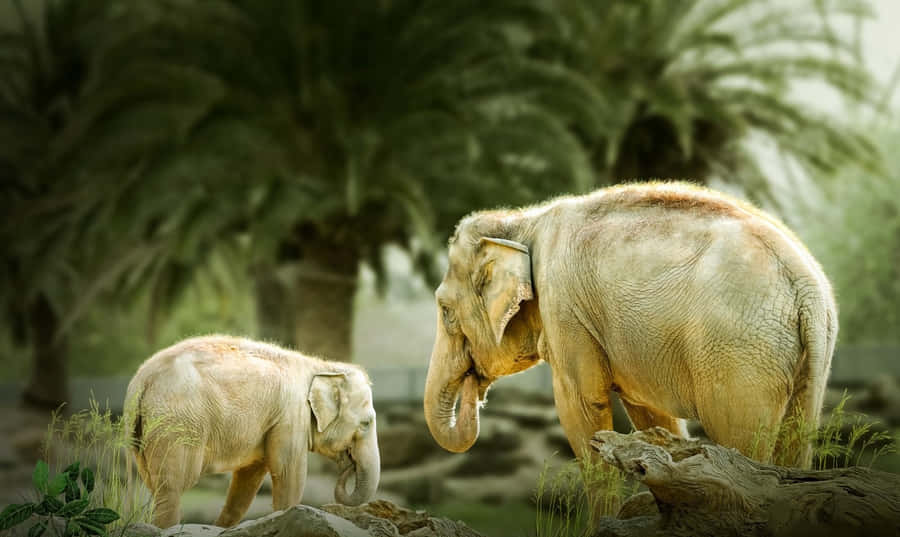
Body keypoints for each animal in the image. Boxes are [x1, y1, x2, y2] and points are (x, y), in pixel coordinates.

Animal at [124, 335, 380, 529]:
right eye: (366, 423)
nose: (349, 464)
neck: (321, 366)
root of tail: (140, 381)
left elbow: (249, 478)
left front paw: (223, 528)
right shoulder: (291, 416)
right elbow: (289, 474)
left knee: (156, 485)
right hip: (177, 425)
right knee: (172, 487)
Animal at [424, 182, 837, 468]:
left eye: (444, 310)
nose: (475, 387)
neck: (523, 222)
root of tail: (806, 286)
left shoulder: (565, 311)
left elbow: (581, 412)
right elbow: (655, 418)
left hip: (739, 353)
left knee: (739, 436)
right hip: (802, 355)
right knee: (797, 440)